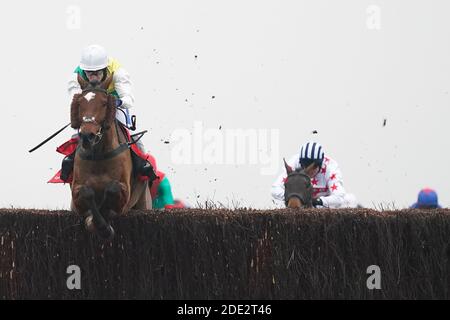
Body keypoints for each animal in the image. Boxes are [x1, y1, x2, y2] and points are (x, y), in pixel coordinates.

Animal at [69, 74, 151, 239]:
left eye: (104, 103)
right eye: (79, 102)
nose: (87, 136)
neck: (98, 156)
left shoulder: (124, 195)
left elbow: (111, 189)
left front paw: (104, 226)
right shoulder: (76, 195)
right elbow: (87, 192)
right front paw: (94, 221)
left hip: (143, 204)